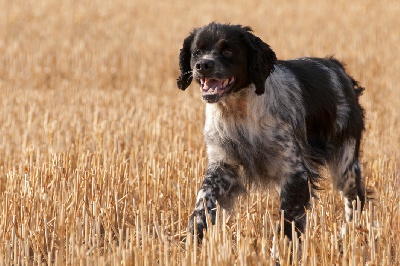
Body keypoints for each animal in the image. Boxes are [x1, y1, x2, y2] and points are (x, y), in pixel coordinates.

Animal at [177, 21, 366, 240]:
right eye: (197, 52)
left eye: (228, 50)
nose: (203, 65)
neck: (240, 112)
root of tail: (337, 67)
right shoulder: (223, 164)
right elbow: (203, 203)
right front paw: (192, 240)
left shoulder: (294, 171)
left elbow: (289, 219)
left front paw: (283, 248)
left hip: (346, 161)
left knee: (355, 198)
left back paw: (348, 235)